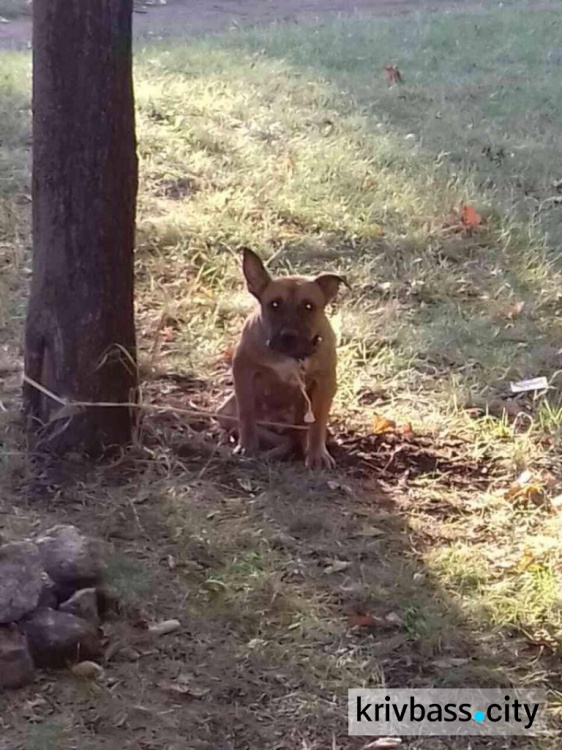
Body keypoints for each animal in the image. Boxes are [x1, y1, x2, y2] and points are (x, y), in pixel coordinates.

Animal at [215, 250, 344, 468]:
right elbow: (246, 414)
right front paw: (247, 446)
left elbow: (318, 422)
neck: (290, 356)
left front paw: (317, 455)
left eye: (309, 306)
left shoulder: (325, 382)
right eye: (274, 304)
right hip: (225, 410)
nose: (288, 335)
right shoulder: (243, 370)